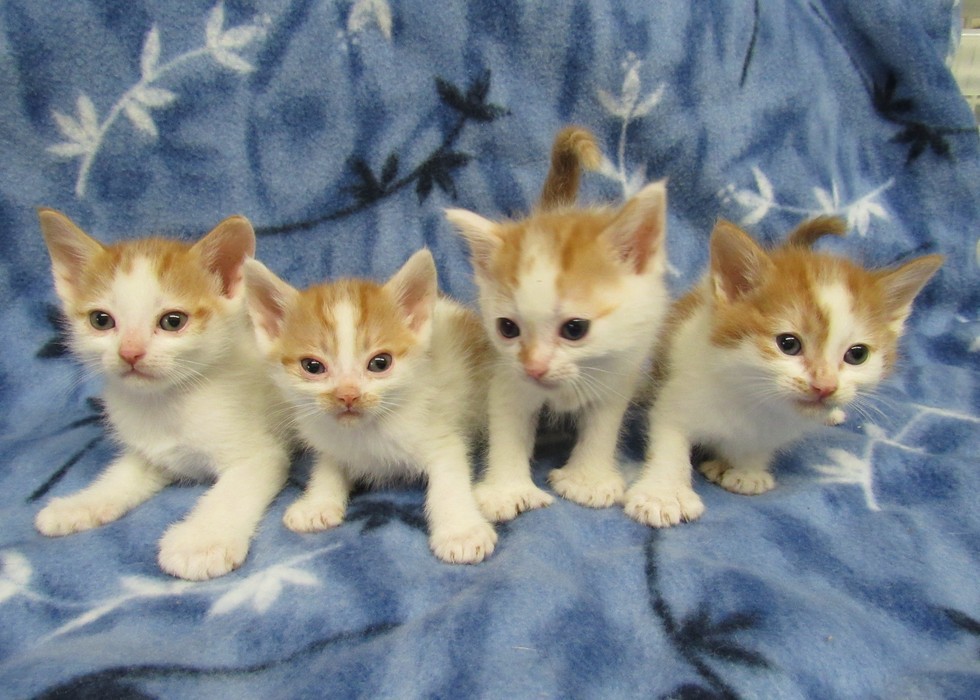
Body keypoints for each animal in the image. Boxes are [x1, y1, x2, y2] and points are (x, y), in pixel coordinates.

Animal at [34, 211, 288, 584]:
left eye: (172, 321)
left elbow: (231, 492)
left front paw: (202, 542)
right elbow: (119, 477)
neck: (167, 402)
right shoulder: (149, 452)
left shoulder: (259, 454)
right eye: (101, 320)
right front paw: (81, 504)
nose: (130, 353)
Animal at [241, 247, 494, 564]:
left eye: (380, 363)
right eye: (312, 366)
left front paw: (461, 532)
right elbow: (328, 465)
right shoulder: (331, 440)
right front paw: (317, 503)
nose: (348, 395)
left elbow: (449, 480)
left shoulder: (439, 435)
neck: (367, 430)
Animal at [446, 124, 668, 520]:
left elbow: (603, 424)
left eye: (575, 329)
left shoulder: (617, 372)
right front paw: (506, 490)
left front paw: (588, 480)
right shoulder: (507, 373)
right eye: (507, 328)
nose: (535, 367)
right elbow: (507, 425)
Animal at [624, 216, 944, 528]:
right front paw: (663, 495)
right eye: (788, 344)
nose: (825, 386)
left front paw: (747, 470)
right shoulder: (680, 394)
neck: (752, 397)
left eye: (857, 354)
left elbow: (760, 445)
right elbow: (670, 443)